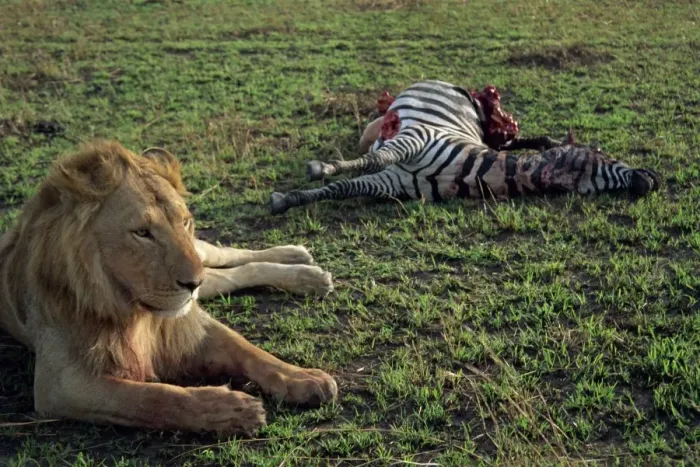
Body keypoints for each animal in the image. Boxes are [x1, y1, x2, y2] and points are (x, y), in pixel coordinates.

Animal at [0, 140, 337, 435]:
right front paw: (228, 409)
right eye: (142, 233)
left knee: (230, 255)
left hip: (201, 254)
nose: (193, 283)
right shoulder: (61, 384)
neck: (128, 306)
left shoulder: (190, 324)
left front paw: (302, 376)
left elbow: (250, 350)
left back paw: (302, 264)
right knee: (234, 273)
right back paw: (305, 271)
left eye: (185, 222)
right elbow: (150, 398)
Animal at [268, 80, 660, 216]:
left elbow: (343, 187)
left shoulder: (390, 183)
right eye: (604, 155)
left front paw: (288, 198)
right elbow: (372, 160)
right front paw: (319, 170)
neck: (469, 172)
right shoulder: (418, 138)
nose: (654, 179)